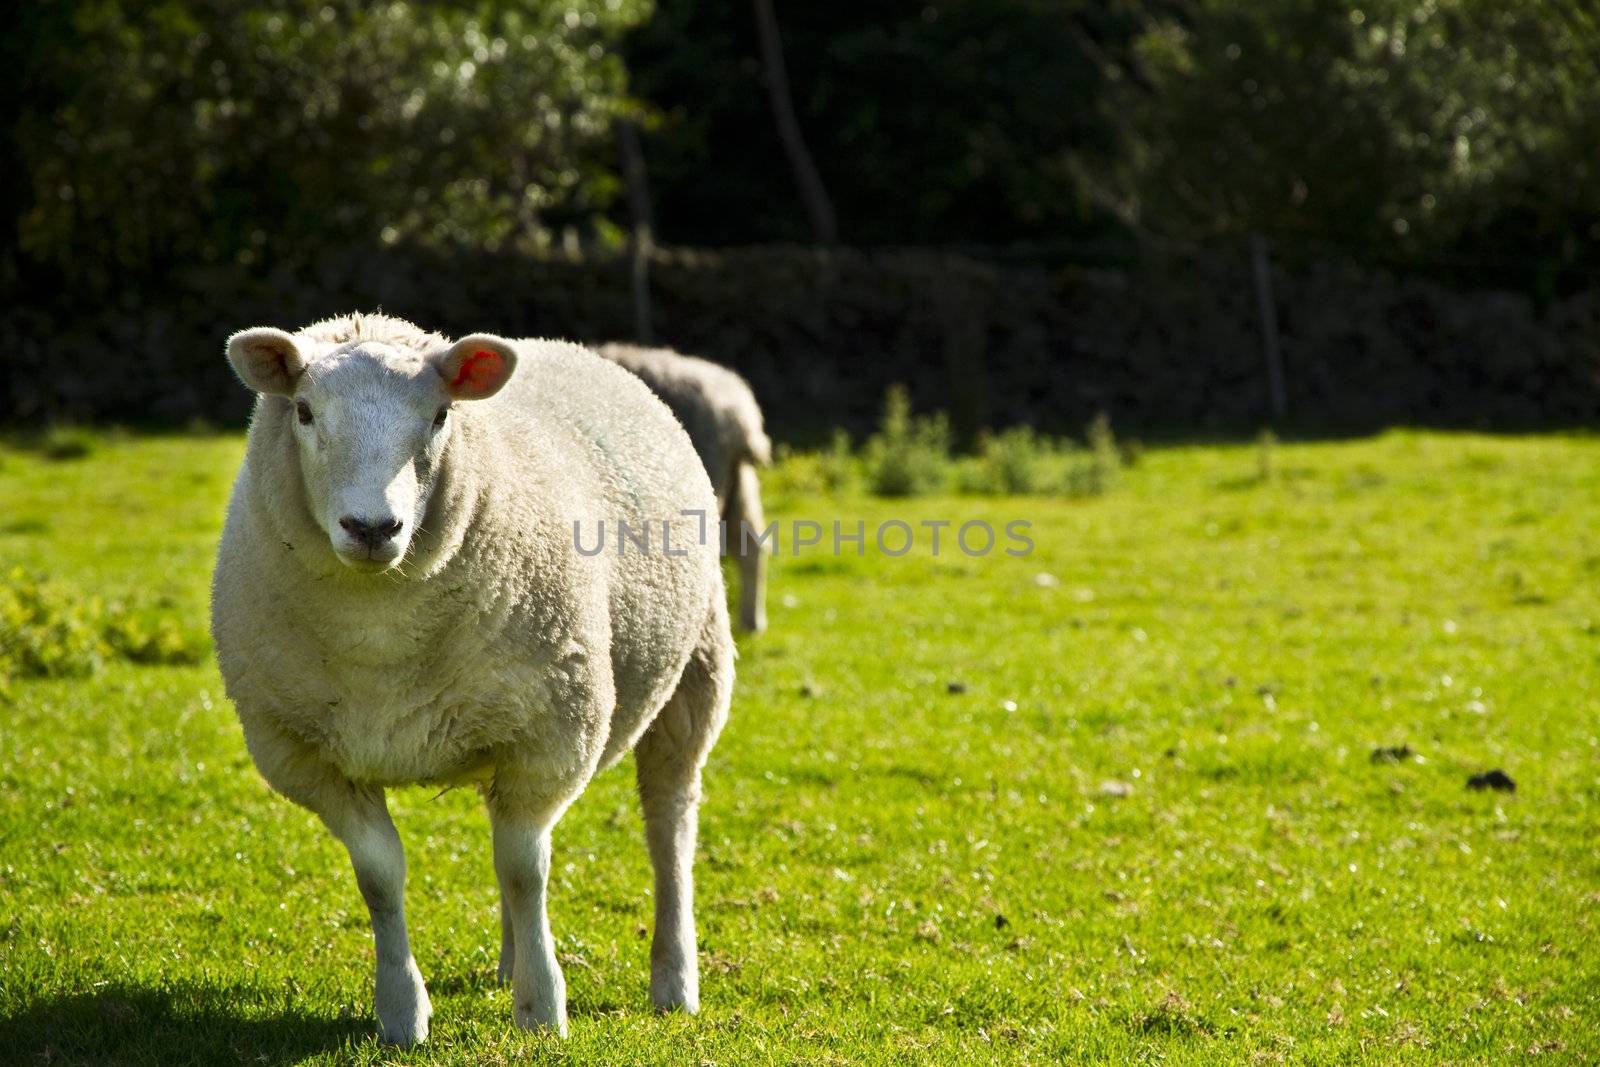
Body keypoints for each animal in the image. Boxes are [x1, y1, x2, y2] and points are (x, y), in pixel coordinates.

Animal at [209, 310, 732, 1043]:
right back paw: (509, 963)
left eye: (439, 415)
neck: (381, 629)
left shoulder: (549, 738)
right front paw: (402, 1011)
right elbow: (381, 878)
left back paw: (674, 979)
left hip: (695, 671)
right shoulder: (309, 759)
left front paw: (541, 1008)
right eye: (305, 411)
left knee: (670, 826)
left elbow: (524, 872)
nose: (372, 527)